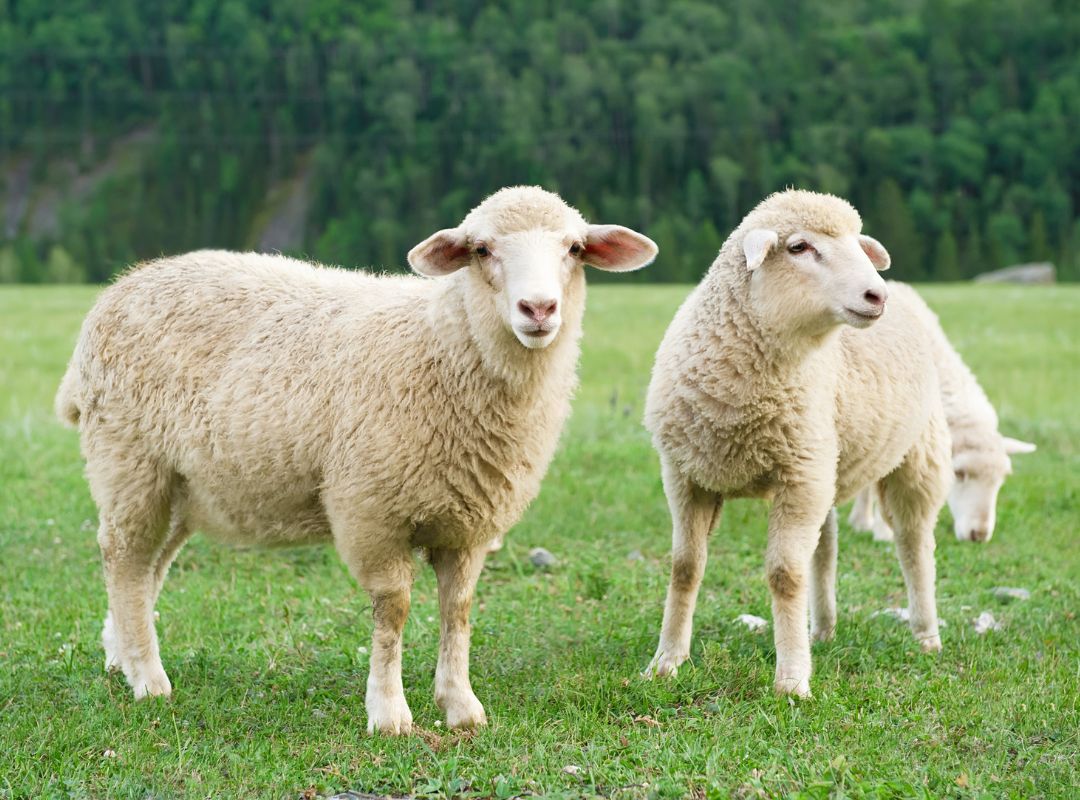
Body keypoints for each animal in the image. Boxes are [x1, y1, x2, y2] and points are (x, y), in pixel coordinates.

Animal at [56, 184, 656, 734]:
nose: (539, 309)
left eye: (575, 248)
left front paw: (460, 705)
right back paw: (148, 679)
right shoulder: (372, 511)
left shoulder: (469, 523)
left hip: (182, 484)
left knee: (148, 567)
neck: (444, 346)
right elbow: (394, 610)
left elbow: (458, 610)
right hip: (129, 460)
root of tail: (121, 287)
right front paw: (389, 714)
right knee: (124, 557)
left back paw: (122, 655)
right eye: (482, 249)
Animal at [639, 190, 954, 695]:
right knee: (825, 549)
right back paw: (820, 630)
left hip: (914, 456)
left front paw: (791, 679)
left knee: (914, 543)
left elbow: (785, 575)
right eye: (799, 247)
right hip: (826, 462)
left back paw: (926, 635)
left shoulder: (798, 476)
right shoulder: (686, 476)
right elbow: (685, 567)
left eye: (858, 244)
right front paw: (667, 661)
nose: (876, 295)